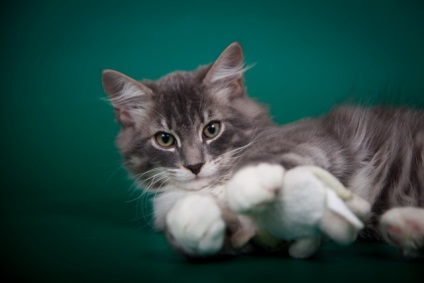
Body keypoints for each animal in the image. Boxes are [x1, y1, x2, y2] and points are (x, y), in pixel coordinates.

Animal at [102, 42, 424, 260]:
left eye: (211, 129)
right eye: (165, 139)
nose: (194, 166)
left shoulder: (319, 140)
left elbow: (272, 155)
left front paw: (248, 183)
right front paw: (197, 224)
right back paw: (404, 227)